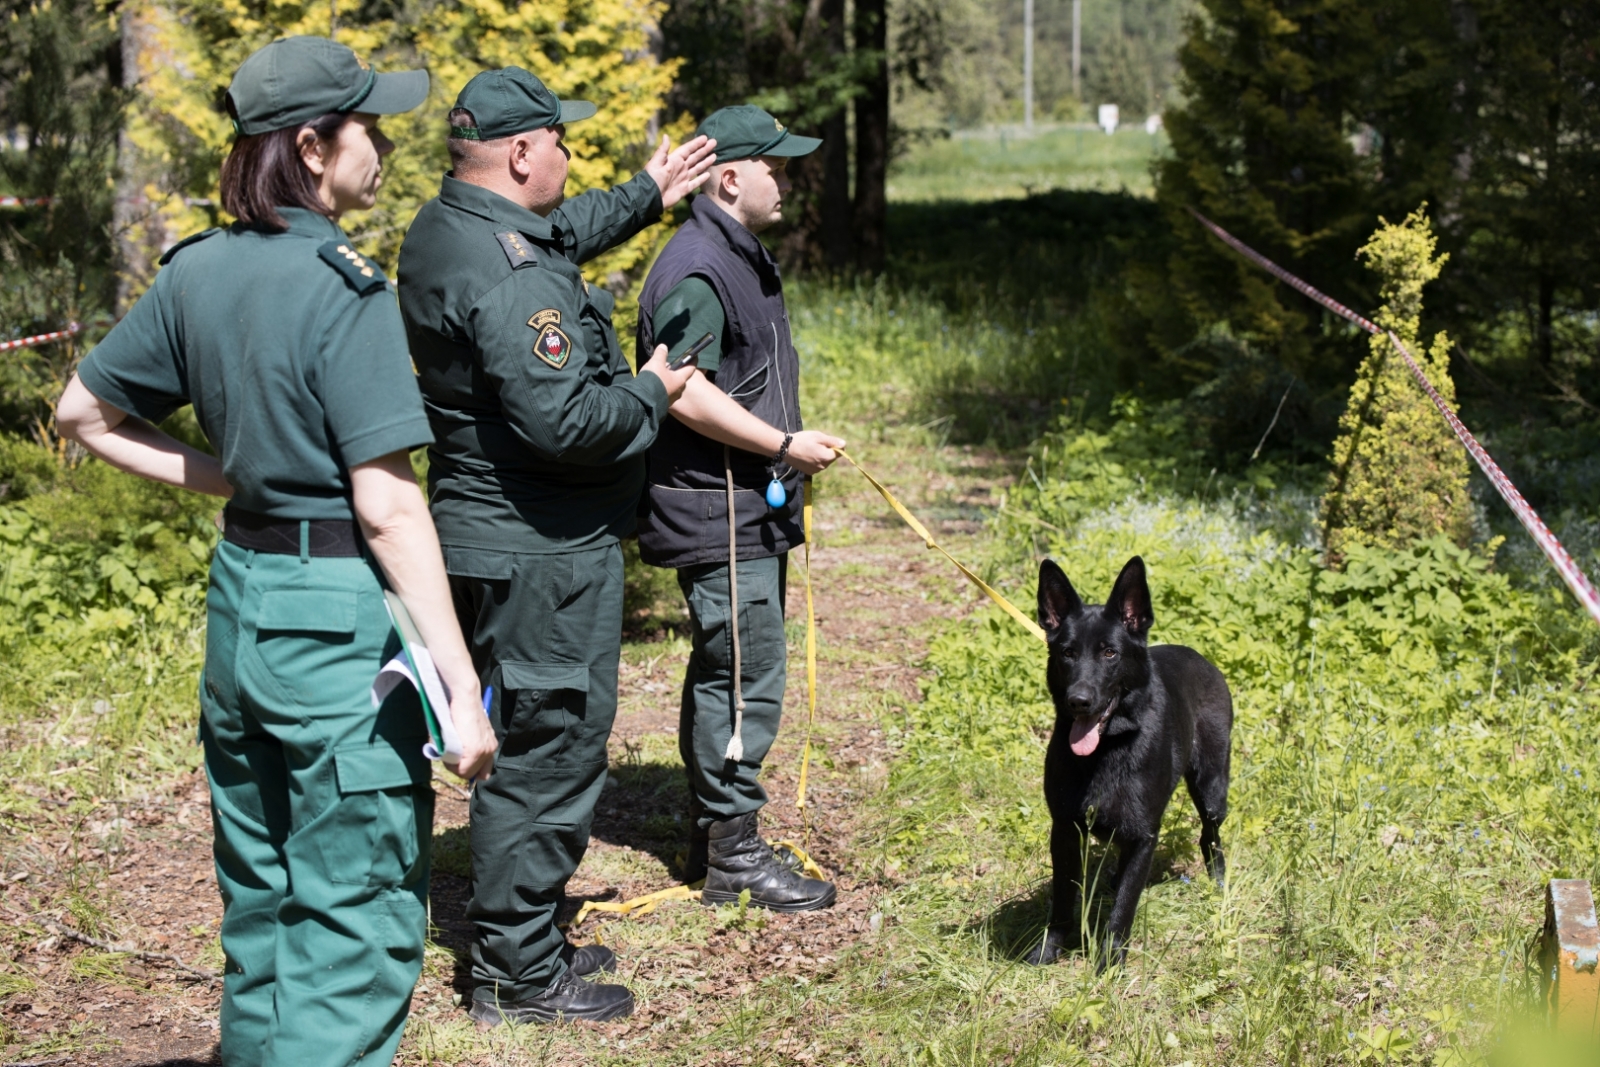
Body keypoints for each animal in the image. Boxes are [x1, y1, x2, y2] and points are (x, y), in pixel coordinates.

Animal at [1024, 559, 1235, 966]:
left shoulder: (1142, 837)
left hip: (1211, 789)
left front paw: (1109, 964)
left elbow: (1124, 905)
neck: (1107, 749)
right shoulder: (1065, 831)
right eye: (1067, 653)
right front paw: (1050, 948)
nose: (1079, 701)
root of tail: (1200, 656)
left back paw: (1217, 880)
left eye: (1109, 653)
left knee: (1209, 834)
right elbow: (1062, 899)